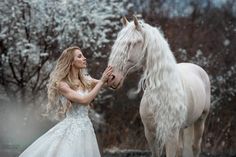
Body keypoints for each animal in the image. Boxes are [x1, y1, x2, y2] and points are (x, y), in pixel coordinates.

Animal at [108, 16, 211, 157]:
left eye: (132, 43)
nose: (111, 77)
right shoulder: (150, 134)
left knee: (195, 147)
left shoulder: (171, 135)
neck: (159, 94)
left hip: (200, 120)